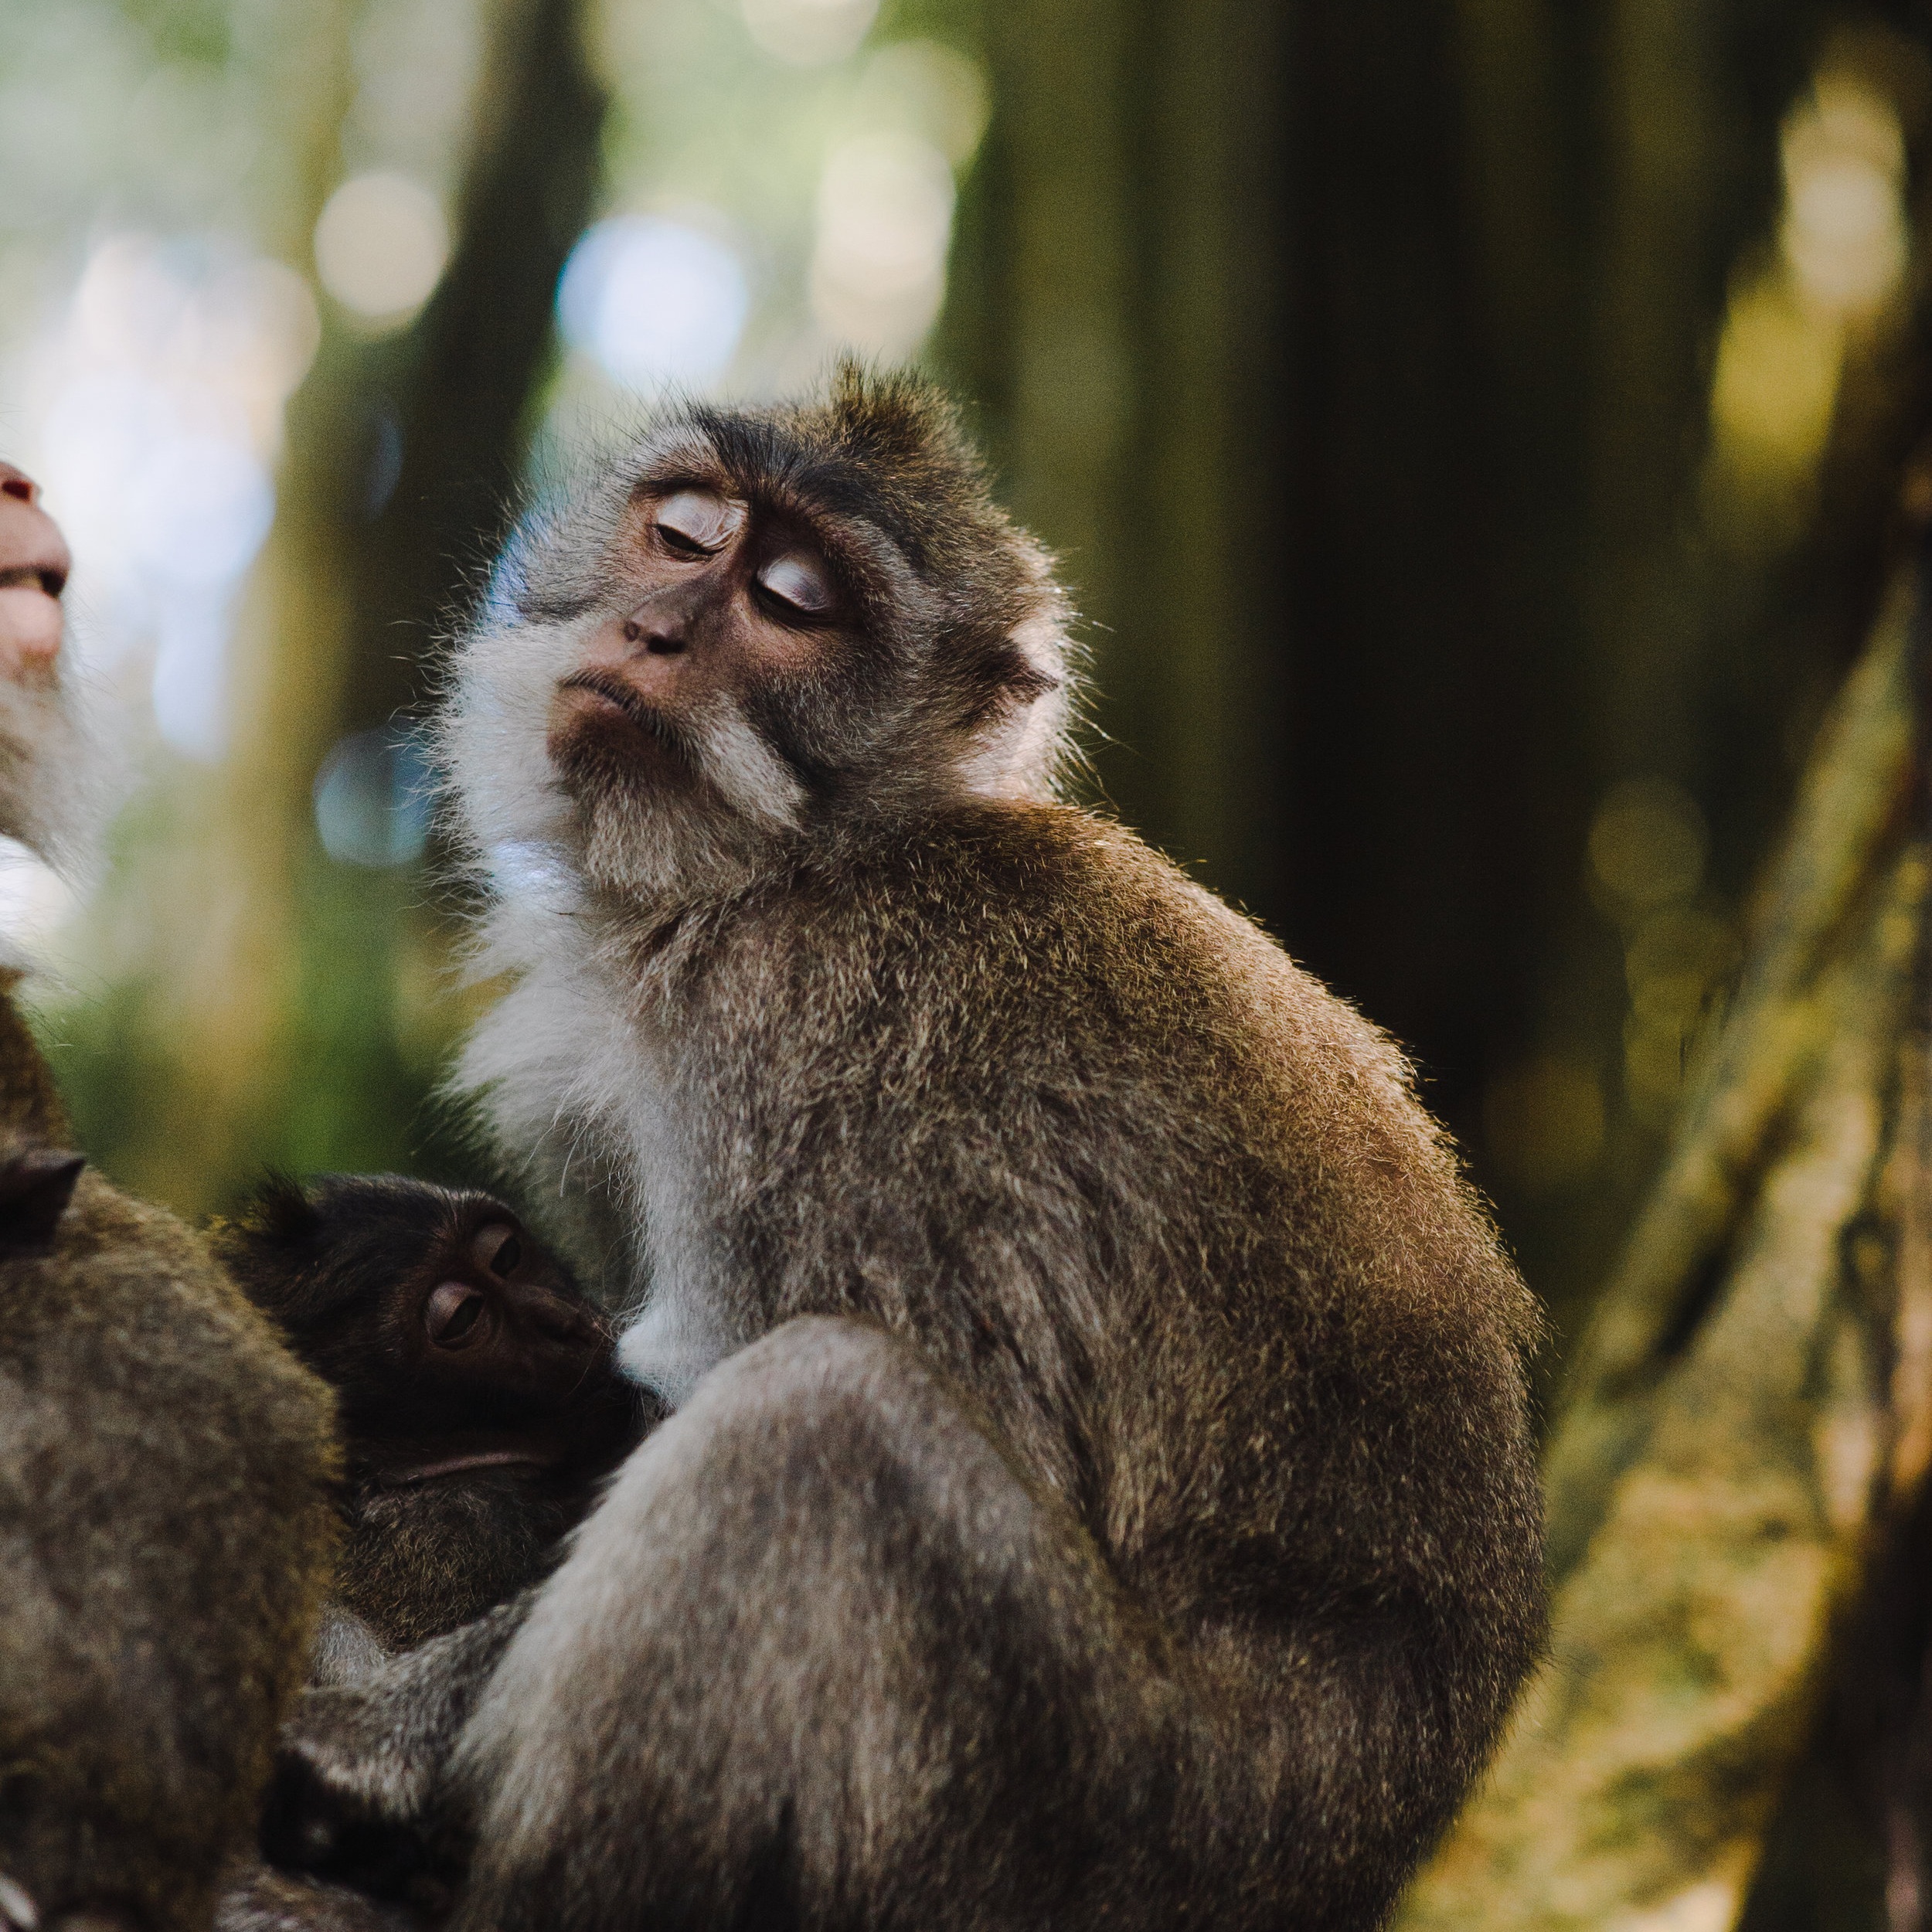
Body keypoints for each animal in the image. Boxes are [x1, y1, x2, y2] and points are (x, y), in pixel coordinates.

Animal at [265, 365, 1546, 1932]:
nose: (656, 631)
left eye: (795, 601)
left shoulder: (792, 1034)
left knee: (821, 1422)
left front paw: (369, 1744)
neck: (788, 867)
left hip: (1090, 1824)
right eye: (683, 532)